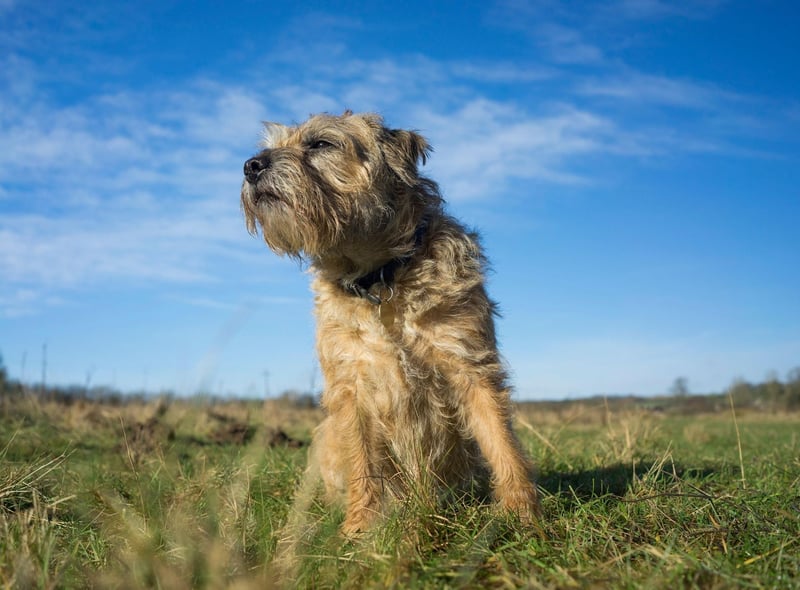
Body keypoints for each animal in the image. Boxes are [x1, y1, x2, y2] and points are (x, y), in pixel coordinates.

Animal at [241, 111, 540, 536]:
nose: (251, 166)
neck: (380, 277)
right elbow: (363, 461)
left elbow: (500, 440)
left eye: (320, 144)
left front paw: (521, 513)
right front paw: (360, 527)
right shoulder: (351, 386)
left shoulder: (470, 363)